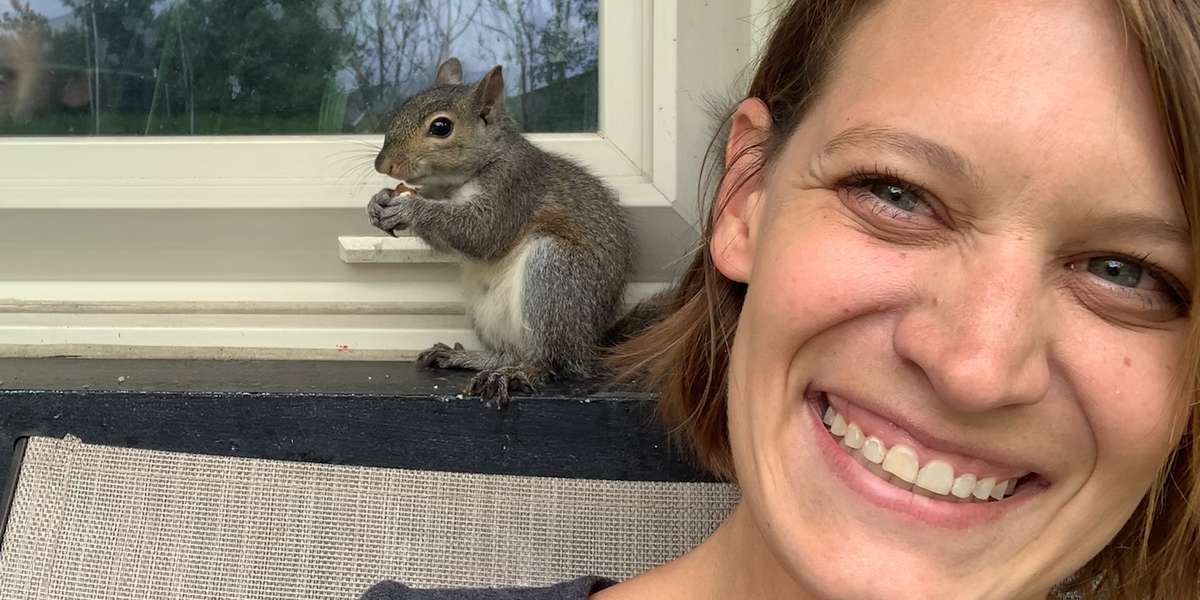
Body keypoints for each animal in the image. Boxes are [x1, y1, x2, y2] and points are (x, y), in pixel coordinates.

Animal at [368, 57, 634, 407]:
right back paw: (468, 358)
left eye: (441, 127)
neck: (458, 182)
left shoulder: (514, 187)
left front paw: (410, 208)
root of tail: (589, 344)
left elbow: (483, 232)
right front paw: (378, 201)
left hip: (556, 277)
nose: (383, 165)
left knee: (552, 361)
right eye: (404, 106)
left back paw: (519, 373)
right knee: (508, 353)